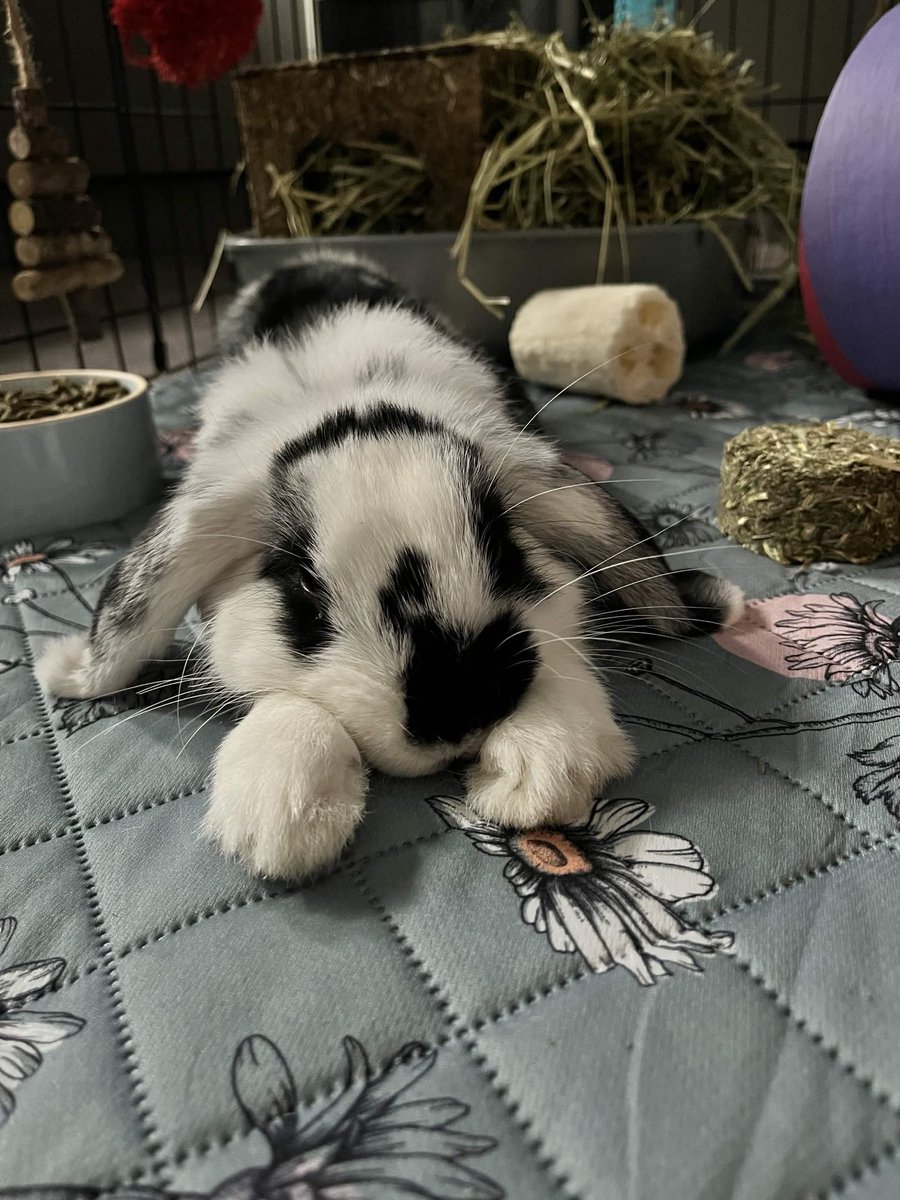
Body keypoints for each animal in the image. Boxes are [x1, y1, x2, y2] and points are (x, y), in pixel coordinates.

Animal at [36, 251, 744, 880]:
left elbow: (561, 650)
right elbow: (286, 698)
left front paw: (541, 768)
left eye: (504, 546)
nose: (459, 709)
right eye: (302, 587)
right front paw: (282, 821)